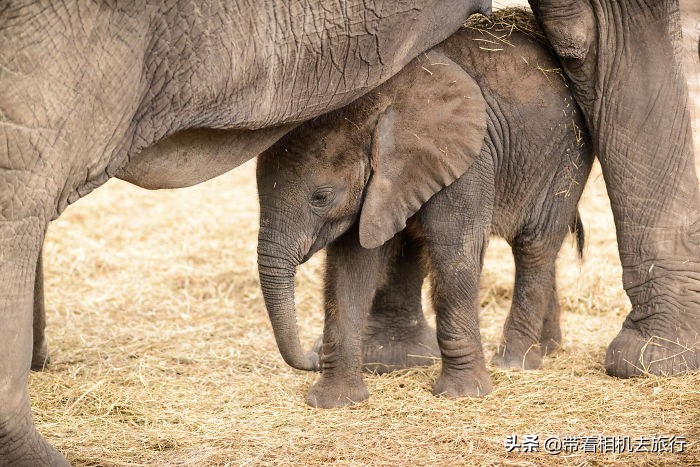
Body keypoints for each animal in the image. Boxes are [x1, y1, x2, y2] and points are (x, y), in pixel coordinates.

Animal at [256, 10, 592, 406]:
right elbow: (350, 266)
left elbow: (454, 252)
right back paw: (549, 349)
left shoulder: (467, 159)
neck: (382, 105)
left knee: (534, 245)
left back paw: (515, 363)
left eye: (320, 197)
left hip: (567, 155)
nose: (311, 357)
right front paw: (334, 402)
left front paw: (463, 395)